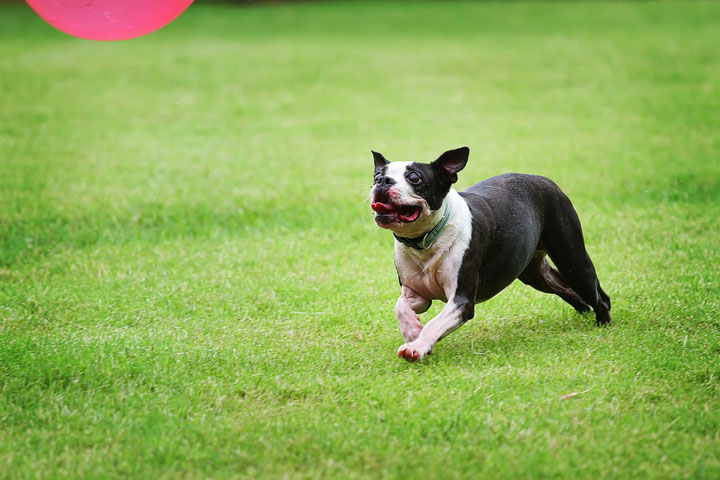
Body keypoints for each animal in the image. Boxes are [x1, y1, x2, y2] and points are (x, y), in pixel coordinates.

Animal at [368, 148, 612, 362]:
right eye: (377, 176)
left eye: (414, 178)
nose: (383, 181)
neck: (425, 241)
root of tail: (544, 179)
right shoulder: (418, 294)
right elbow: (400, 306)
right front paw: (412, 331)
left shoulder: (461, 301)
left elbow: (434, 323)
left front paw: (417, 347)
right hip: (534, 273)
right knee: (568, 289)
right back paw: (584, 312)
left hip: (572, 260)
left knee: (599, 296)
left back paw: (603, 324)